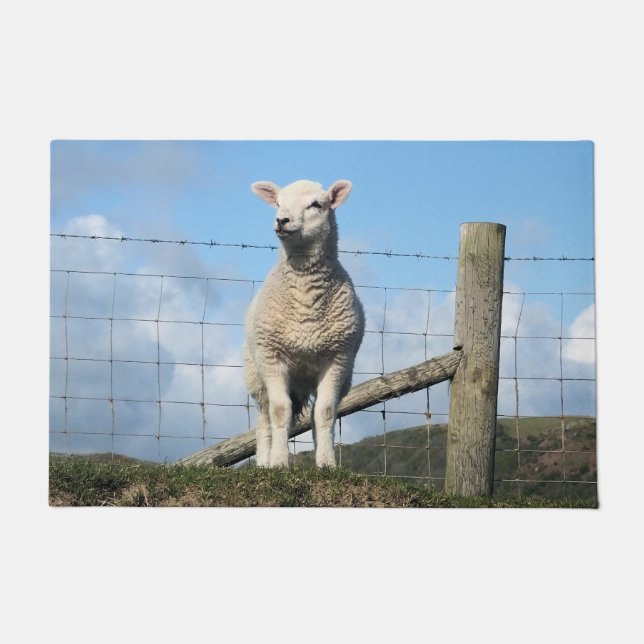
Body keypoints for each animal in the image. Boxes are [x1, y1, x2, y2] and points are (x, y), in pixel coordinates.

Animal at [243, 179, 365, 468]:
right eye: (278, 203)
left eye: (316, 205)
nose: (282, 220)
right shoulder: (272, 356)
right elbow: (279, 411)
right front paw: (278, 463)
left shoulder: (338, 358)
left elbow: (326, 412)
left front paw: (327, 464)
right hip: (257, 374)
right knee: (264, 420)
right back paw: (263, 462)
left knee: (314, 414)